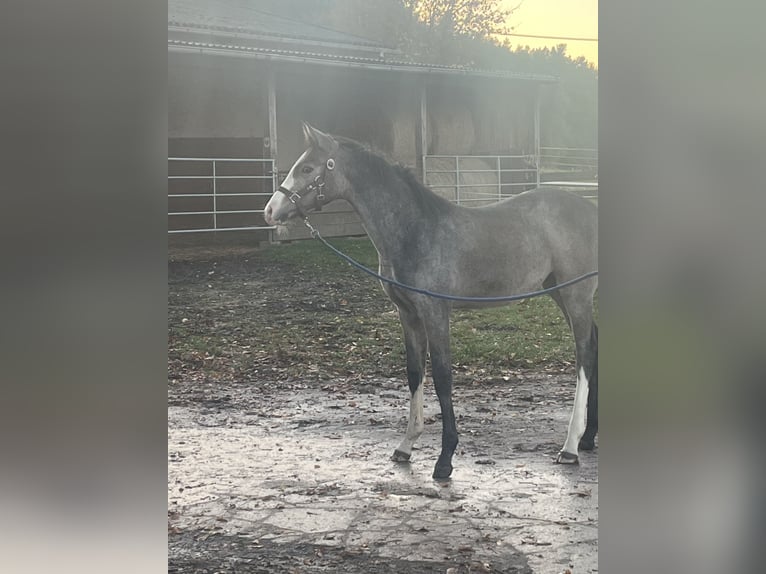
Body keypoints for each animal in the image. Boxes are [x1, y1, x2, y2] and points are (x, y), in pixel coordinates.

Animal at [264, 125, 600, 482]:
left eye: (307, 168)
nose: (270, 211)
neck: (415, 230)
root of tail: (590, 210)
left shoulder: (436, 312)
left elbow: (442, 376)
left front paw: (445, 459)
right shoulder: (408, 314)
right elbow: (415, 373)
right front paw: (405, 446)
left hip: (576, 294)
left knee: (583, 354)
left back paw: (570, 446)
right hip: (557, 291)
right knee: (593, 343)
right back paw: (588, 438)